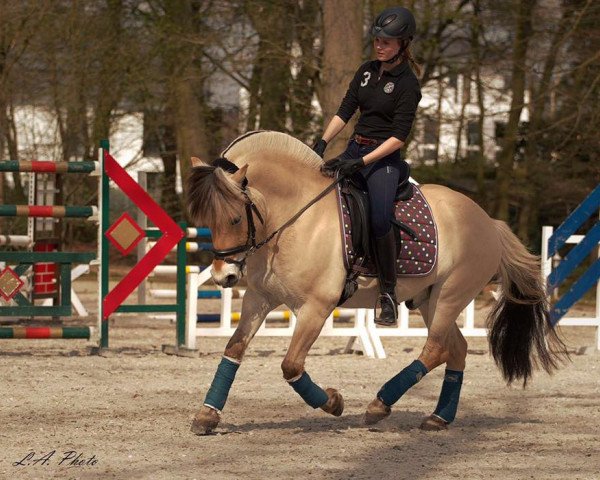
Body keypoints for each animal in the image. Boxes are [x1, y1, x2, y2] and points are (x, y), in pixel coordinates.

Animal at [188, 131, 568, 436]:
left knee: (436, 349)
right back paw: (438, 418)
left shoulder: (316, 307)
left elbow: (291, 365)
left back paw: (379, 405)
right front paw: (207, 416)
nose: (223, 276)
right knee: (455, 349)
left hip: (450, 295)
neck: (294, 219)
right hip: (429, 301)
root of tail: (489, 221)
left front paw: (333, 403)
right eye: (208, 219)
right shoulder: (259, 298)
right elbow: (234, 348)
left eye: (235, 219)